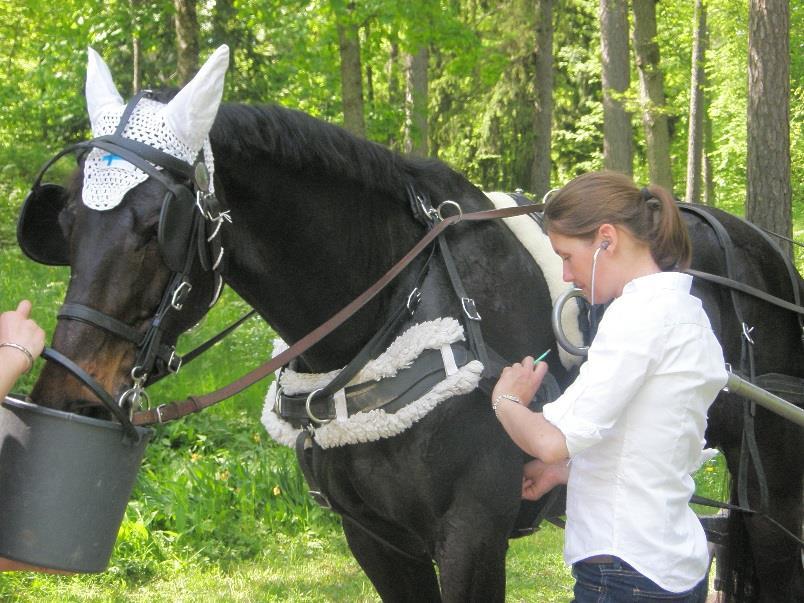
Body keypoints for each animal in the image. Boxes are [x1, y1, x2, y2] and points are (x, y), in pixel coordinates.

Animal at [22, 55, 800, 600]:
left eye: (157, 227)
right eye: (68, 222)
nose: (68, 394)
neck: (392, 309)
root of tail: (764, 249)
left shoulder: (473, 537)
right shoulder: (376, 540)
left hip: (774, 497)